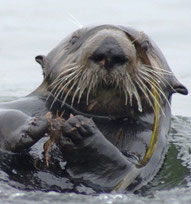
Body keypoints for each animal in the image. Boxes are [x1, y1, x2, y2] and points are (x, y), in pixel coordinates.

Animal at [0, 25, 188, 193]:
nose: (110, 50)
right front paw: (32, 124)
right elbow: (6, 113)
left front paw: (80, 130)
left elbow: (127, 172)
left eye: (146, 45)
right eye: (74, 40)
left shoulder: (146, 141)